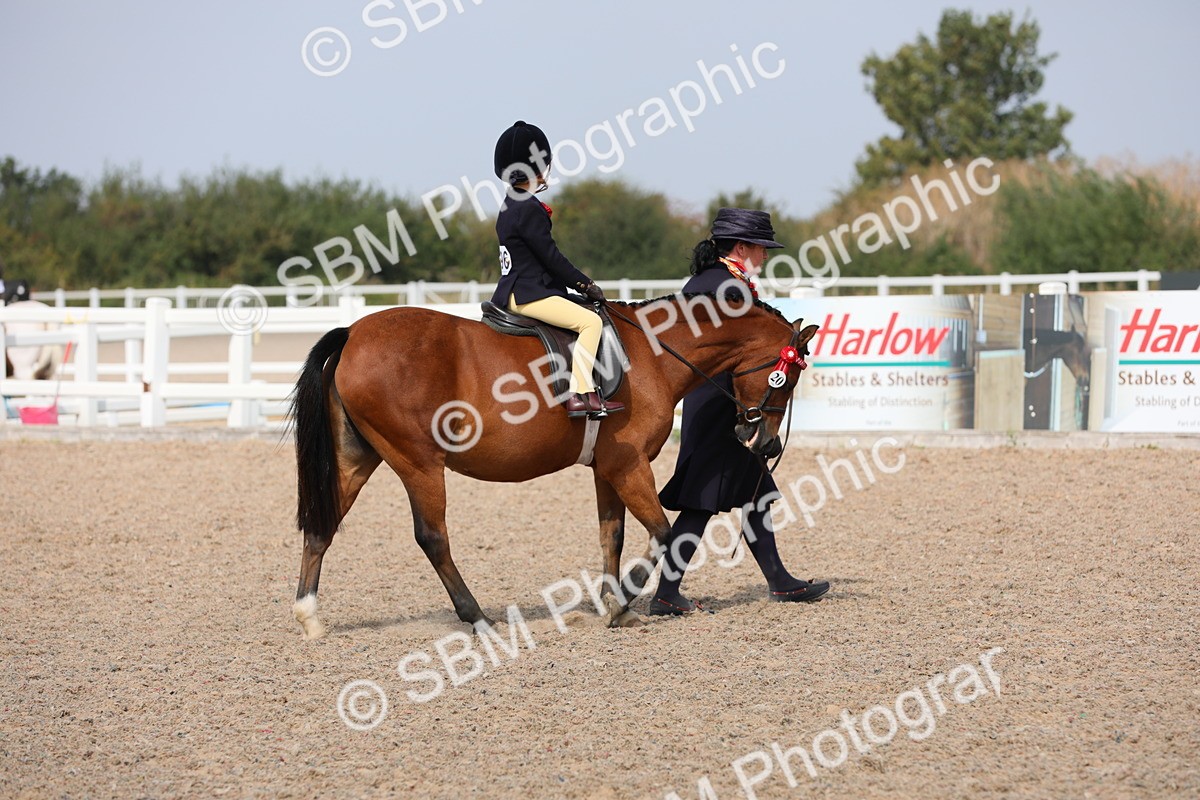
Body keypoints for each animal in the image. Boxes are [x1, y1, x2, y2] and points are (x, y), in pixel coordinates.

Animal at [287, 292, 819, 639]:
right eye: (789, 376)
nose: (764, 442)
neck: (649, 354)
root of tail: (353, 332)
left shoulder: (607, 469)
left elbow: (613, 535)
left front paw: (614, 601)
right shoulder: (629, 466)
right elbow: (664, 533)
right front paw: (622, 604)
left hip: (358, 458)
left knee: (322, 526)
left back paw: (310, 616)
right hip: (418, 463)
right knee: (432, 538)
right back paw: (478, 618)